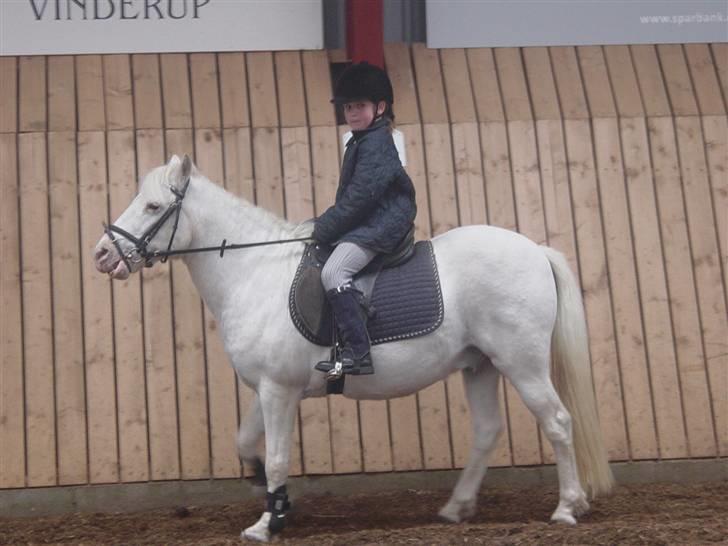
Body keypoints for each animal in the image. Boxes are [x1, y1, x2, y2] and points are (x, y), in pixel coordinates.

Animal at [94, 154, 612, 540]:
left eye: (152, 206)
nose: (102, 255)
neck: (254, 271)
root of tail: (535, 250)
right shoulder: (268, 388)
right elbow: (246, 442)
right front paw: (272, 496)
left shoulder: (278, 391)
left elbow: (278, 456)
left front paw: (266, 522)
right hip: (479, 366)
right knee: (487, 430)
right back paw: (456, 507)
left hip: (521, 363)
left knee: (558, 422)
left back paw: (567, 508)